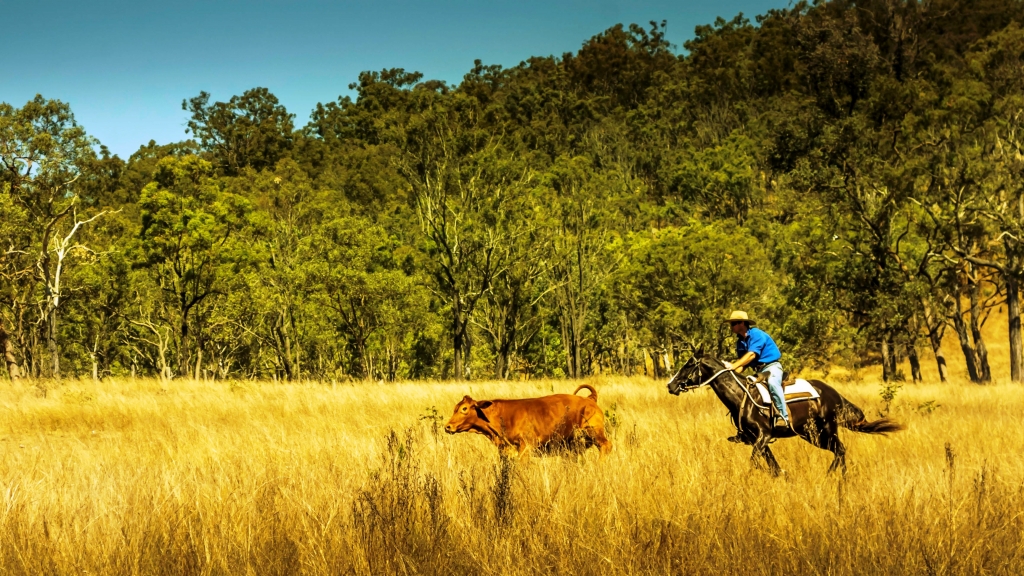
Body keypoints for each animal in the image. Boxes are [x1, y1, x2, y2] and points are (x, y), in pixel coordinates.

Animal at [440, 381, 606, 457]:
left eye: (464, 409)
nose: (448, 426)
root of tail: (589, 399)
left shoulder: (526, 447)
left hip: (594, 432)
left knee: (606, 446)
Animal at [671, 344, 905, 475]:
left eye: (689, 364)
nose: (671, 385)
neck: (742, 398)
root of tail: (834, 394)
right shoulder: (757, 440)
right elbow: (772, 466)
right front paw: (783, 475)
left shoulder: (763, 436)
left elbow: (754, 463)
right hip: (812, 435)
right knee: (840, 451)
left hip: (826, 429)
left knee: (840, 450)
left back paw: (831, 477)